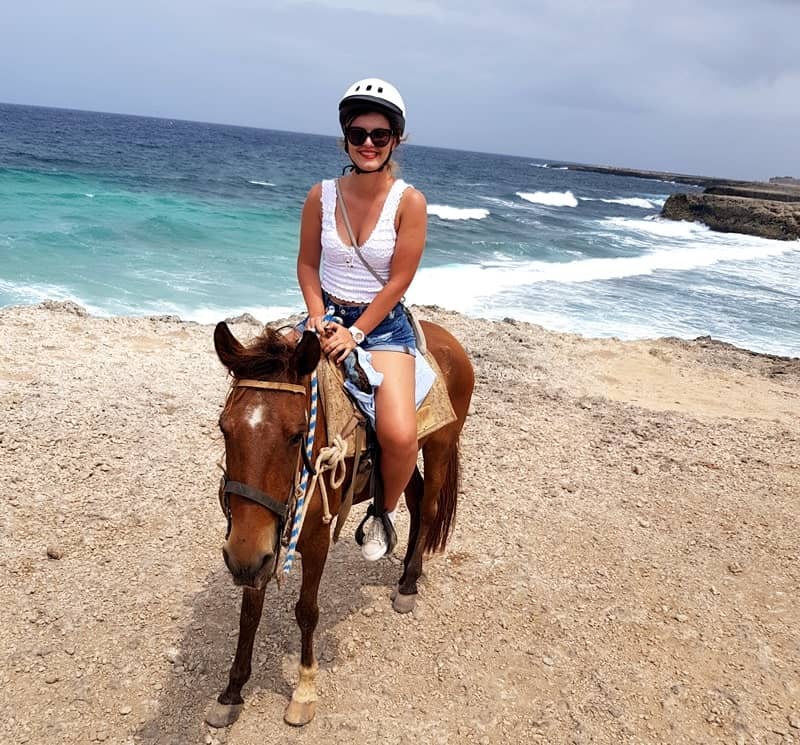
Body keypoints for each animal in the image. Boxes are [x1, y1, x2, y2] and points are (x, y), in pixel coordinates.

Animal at [208, 318, 476, 728]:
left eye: (295, 435)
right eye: (225, 428)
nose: (242, 557)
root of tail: (449, 340)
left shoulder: (313, 538)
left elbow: (306, 611)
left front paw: (304, 690)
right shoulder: (260, 543)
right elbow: (249, 615)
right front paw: (232, 692)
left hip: (440, 445)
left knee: (428, 508)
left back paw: (408, 584)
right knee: (414, 500)